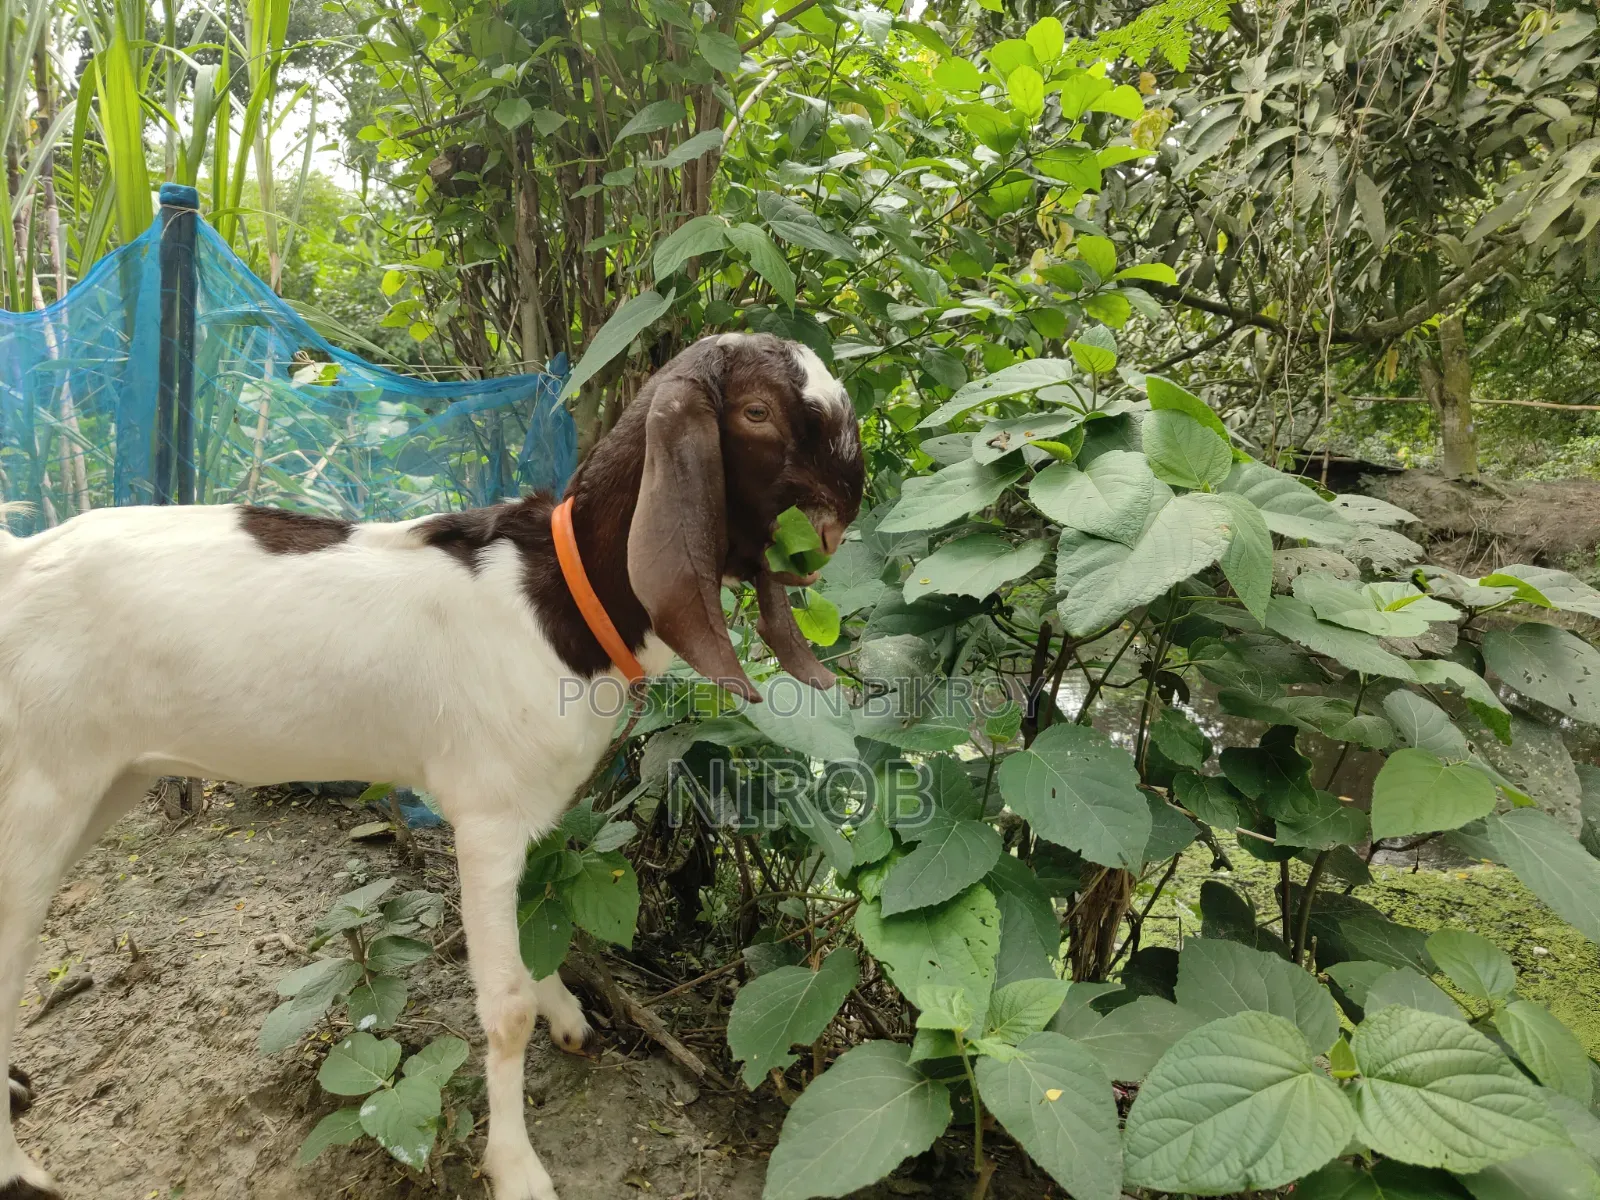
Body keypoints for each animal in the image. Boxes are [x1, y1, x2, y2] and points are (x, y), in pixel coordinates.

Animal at [0, 332, 864, 1200]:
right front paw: (517, 1168)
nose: (838, 524)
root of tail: (19, 559)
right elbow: (504, 1007)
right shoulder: (484, 817)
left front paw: (566, 1013)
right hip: (39, 786)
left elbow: (531, 936)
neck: (557, 597)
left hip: (108, 779)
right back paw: (19, 1168)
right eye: (756, 412)